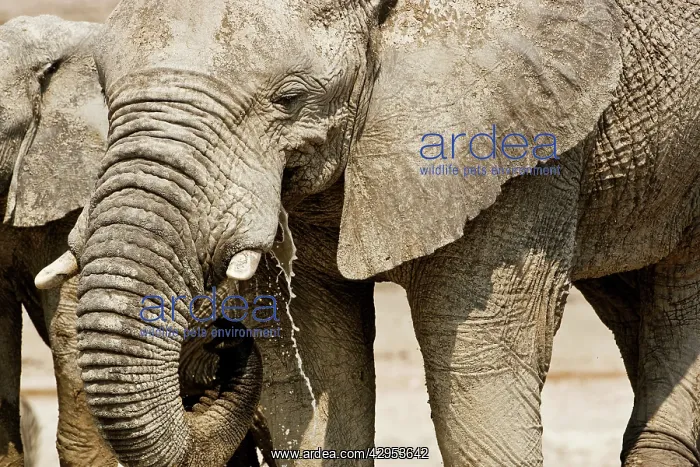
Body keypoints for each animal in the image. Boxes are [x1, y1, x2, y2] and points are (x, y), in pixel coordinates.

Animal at [37, 0, 700, 465]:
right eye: (104, 91)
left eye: (289, 98)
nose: (225, 342)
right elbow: (322, 364)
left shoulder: (521, 132)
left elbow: (483, 360)